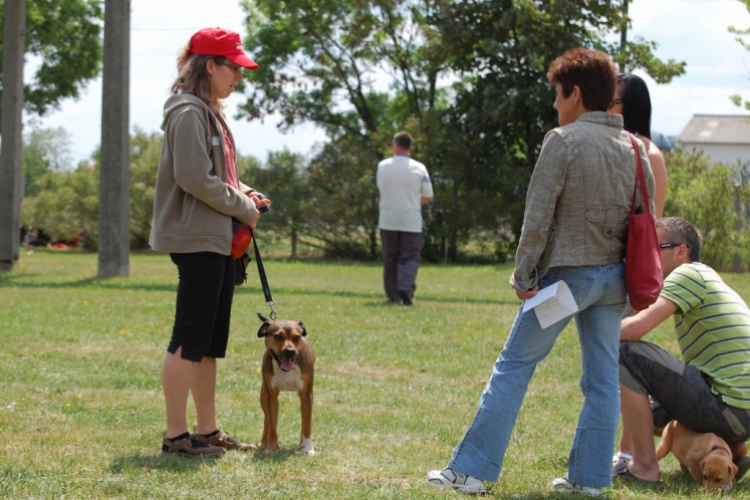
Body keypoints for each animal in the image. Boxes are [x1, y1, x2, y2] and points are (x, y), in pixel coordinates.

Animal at [258, 314, 318, 456]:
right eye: (278, 336)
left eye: (297, 337)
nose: (290, 351)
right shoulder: (272, 396)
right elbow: (272, 425)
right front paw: (271, 448)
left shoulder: (306, 395)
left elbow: (307, 424)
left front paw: (308, 448)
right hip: (263, 395)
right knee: (266, 419)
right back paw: (263, 442)